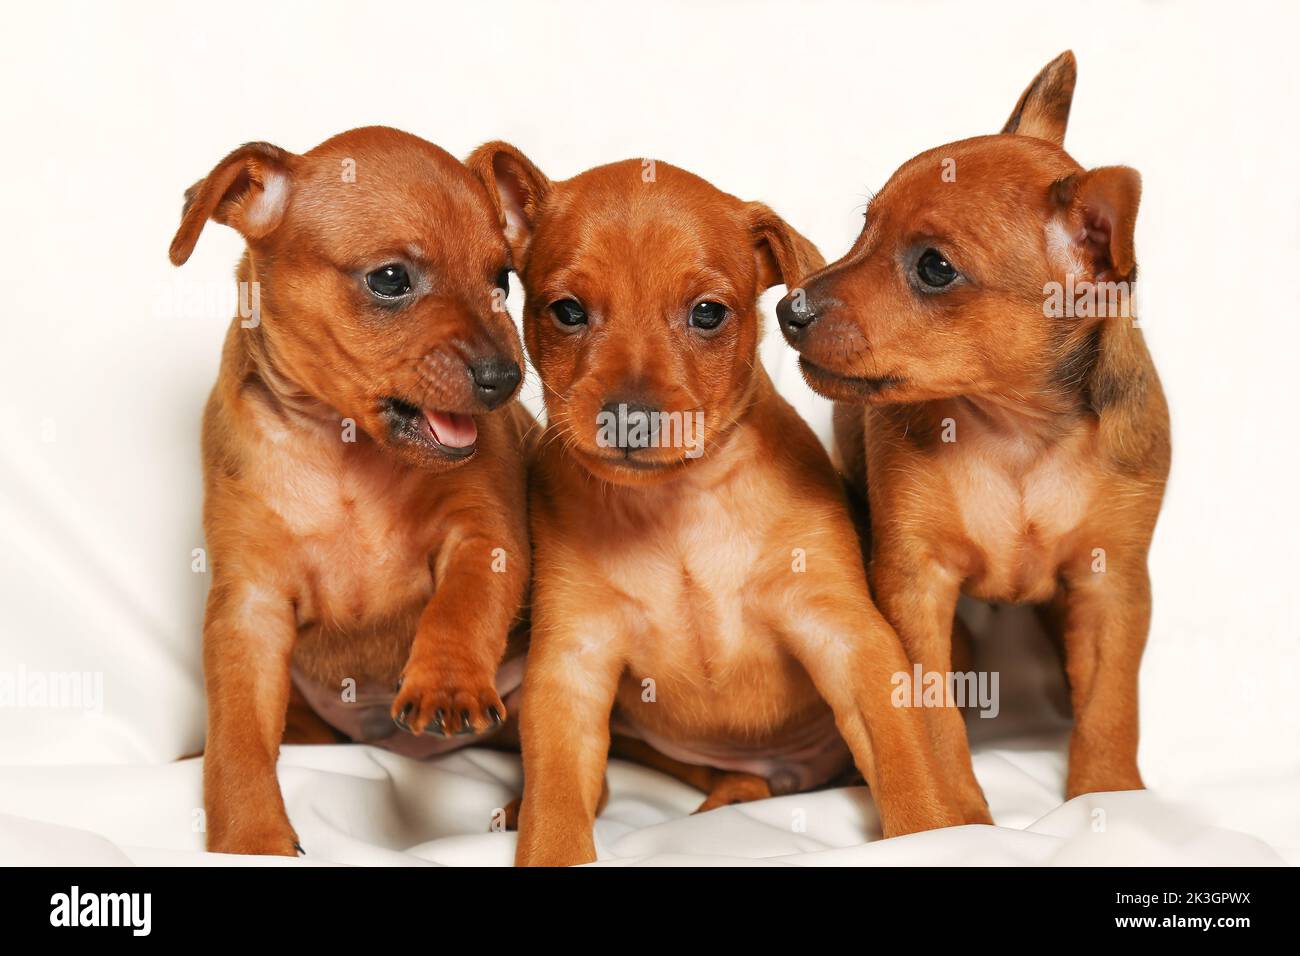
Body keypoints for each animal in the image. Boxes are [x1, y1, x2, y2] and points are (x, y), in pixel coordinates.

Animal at [170, 128, 535, 858]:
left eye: (502, 279)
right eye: (390, 279)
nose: (504, 377)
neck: (344, 450)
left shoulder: (486, 537)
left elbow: (460, 606)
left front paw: (446, 679)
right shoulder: (248, 606)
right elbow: (238, 738)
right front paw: (250, 837)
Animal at [467, 141, 977, 868]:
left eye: (708, 314)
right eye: (567, 311)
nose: (630, 417)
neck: (677, 508)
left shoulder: (846, 637)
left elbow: (907, 763)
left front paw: (932, 835)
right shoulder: (571, 664)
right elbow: (558, 791)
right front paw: (549, 842)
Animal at [774, 52, 1175, 816]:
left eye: (935, 268)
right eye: (863, 226)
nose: (789, 309)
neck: (1019, 434)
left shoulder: (1113, 585)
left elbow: (1112, 703)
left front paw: (1107, 797)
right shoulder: (914, 585)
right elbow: (931, 713)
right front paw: (957, 815)